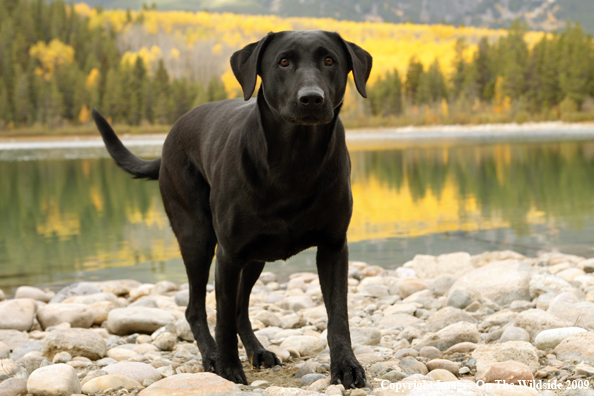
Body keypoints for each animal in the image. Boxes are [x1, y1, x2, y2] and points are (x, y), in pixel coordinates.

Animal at [92, 30, 370, 386]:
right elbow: (222, 317)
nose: (311, 98)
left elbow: (338, 315)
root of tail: (166, 144)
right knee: (196, 308)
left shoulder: (334, 247)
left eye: (330, 60)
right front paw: (227, 368)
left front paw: (346, 366)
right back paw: (210, 355)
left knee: (240, 308)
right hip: (197, 238)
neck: (294, 160)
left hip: (256, 256)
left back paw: (257, 351)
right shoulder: (228, 254)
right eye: (283, 61)